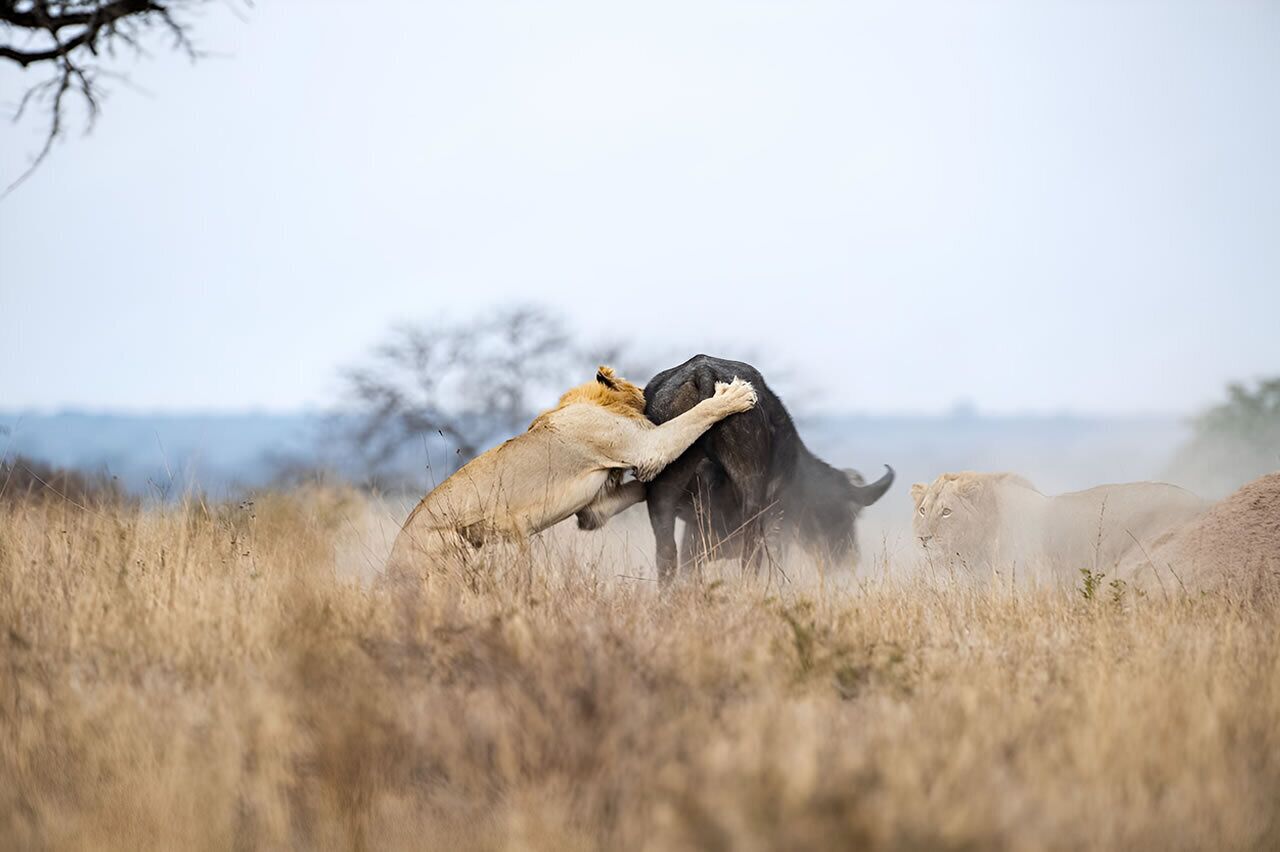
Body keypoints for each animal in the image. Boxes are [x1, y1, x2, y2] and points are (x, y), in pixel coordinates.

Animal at [384, 366, 758, 581]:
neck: (597, 402)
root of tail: (395, 551)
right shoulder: (647, 445)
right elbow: (695, 416)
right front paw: (735, 394)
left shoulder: (595, 509)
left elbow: (635, 490)